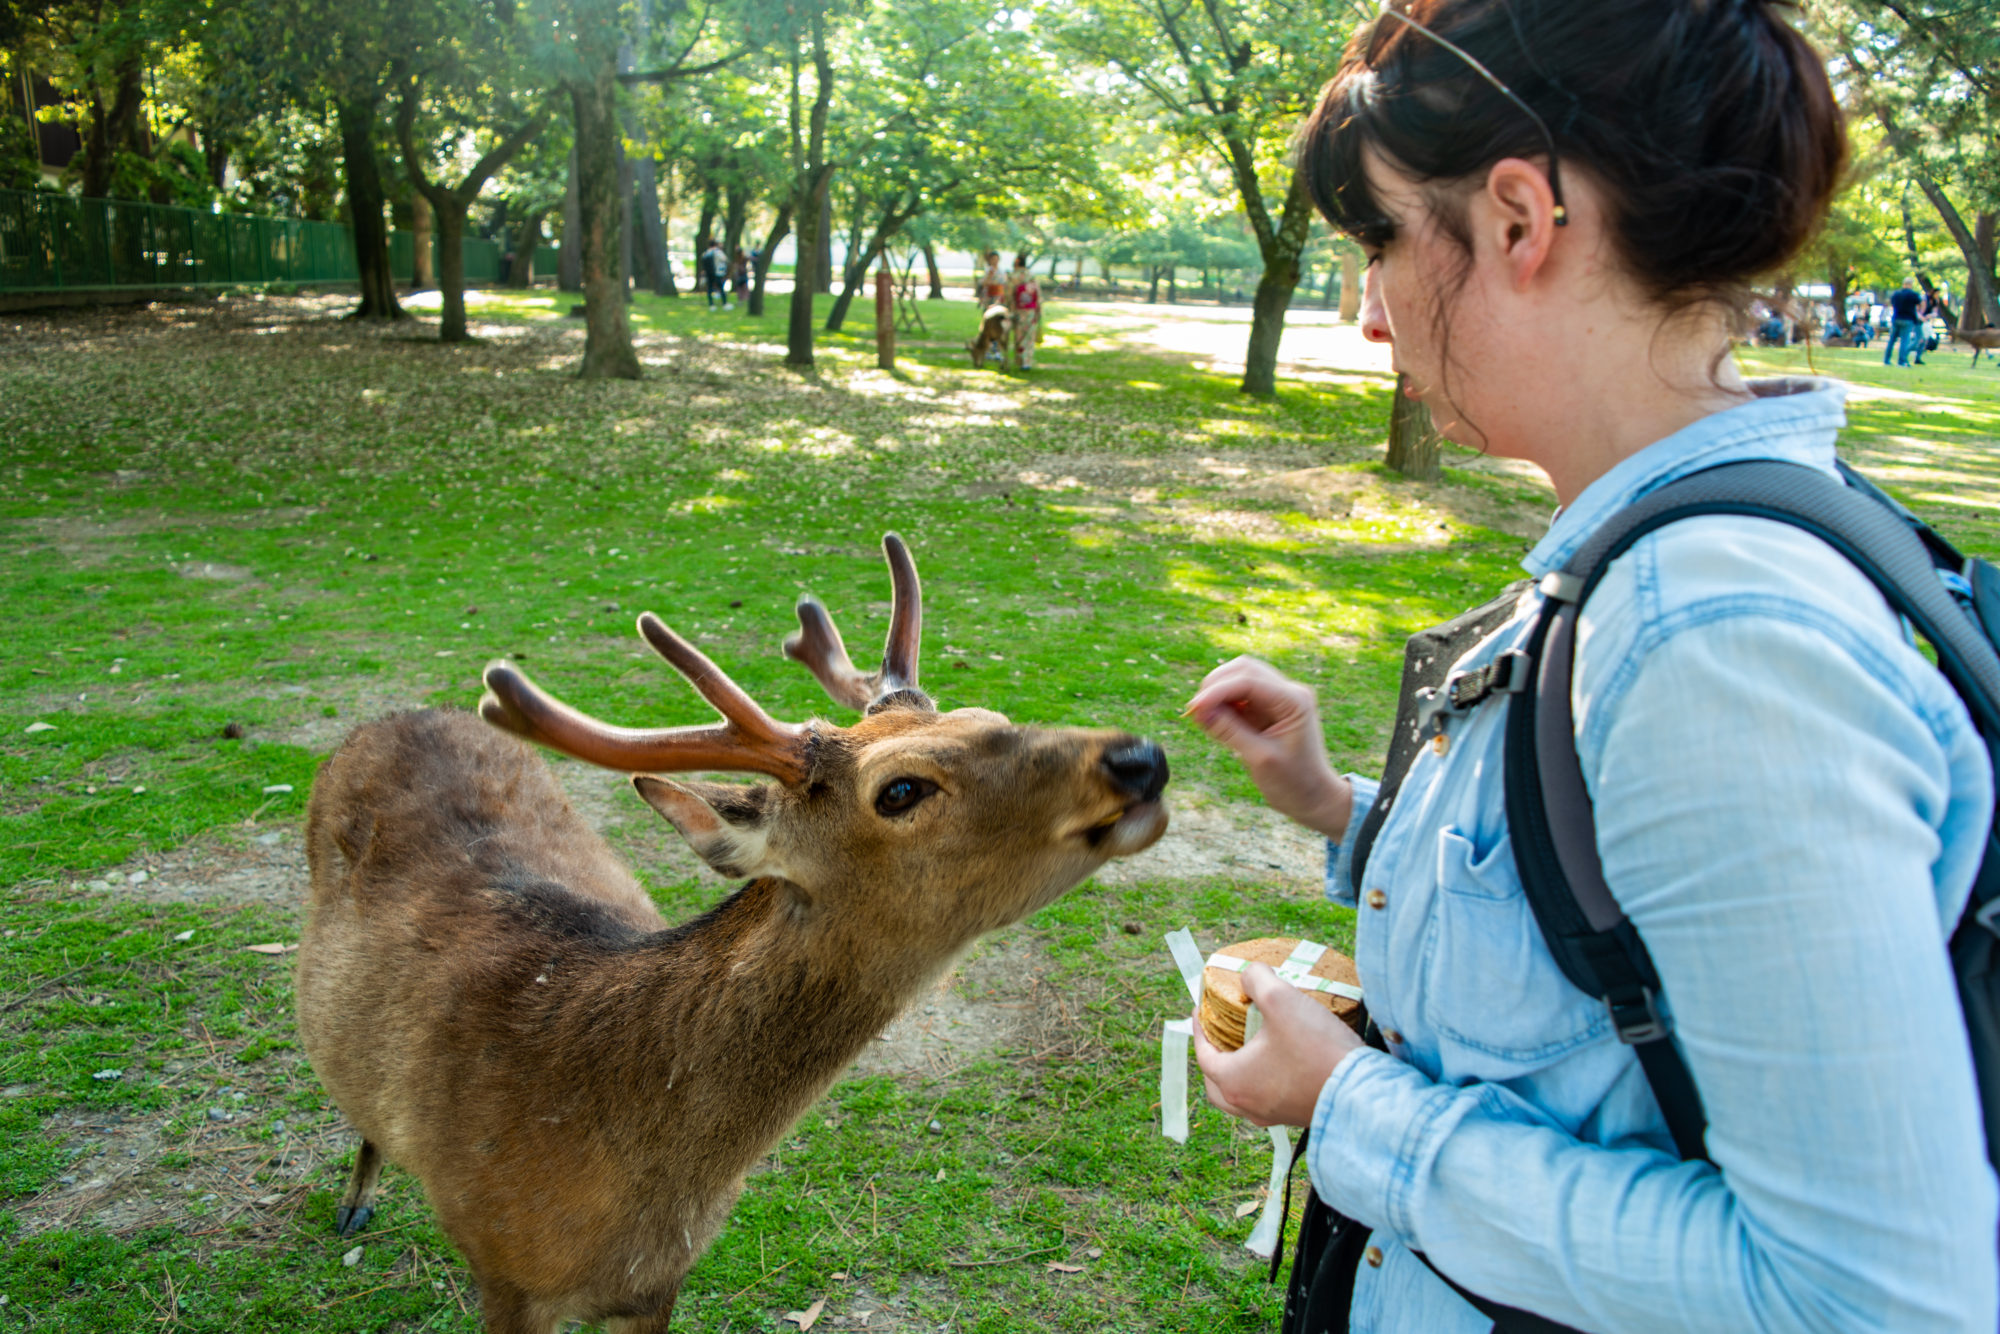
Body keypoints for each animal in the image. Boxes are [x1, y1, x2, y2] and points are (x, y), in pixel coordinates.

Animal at [296, 536, 1168, 1334]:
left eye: (992, 718)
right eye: (901, 790)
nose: (1140, 757)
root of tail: (399, 713)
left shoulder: (661, 1284)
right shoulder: (504, 1275)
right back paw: (355, 1202)